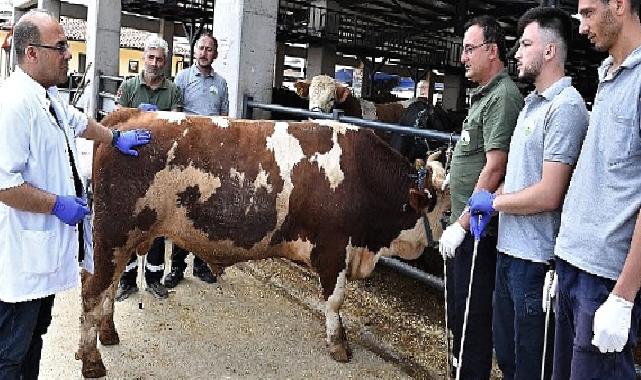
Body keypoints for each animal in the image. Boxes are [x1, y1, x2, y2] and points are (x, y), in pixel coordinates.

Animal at [74, 108, 436, 378]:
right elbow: (335, 301)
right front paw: (339, 346)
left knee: (108, 287)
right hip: (112, 234)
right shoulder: (333, 249)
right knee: (93, 289)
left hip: (123, 239)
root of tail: (127, 116)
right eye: (436, 207)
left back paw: (108, 334)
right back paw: (91, 360)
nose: (431, 250)